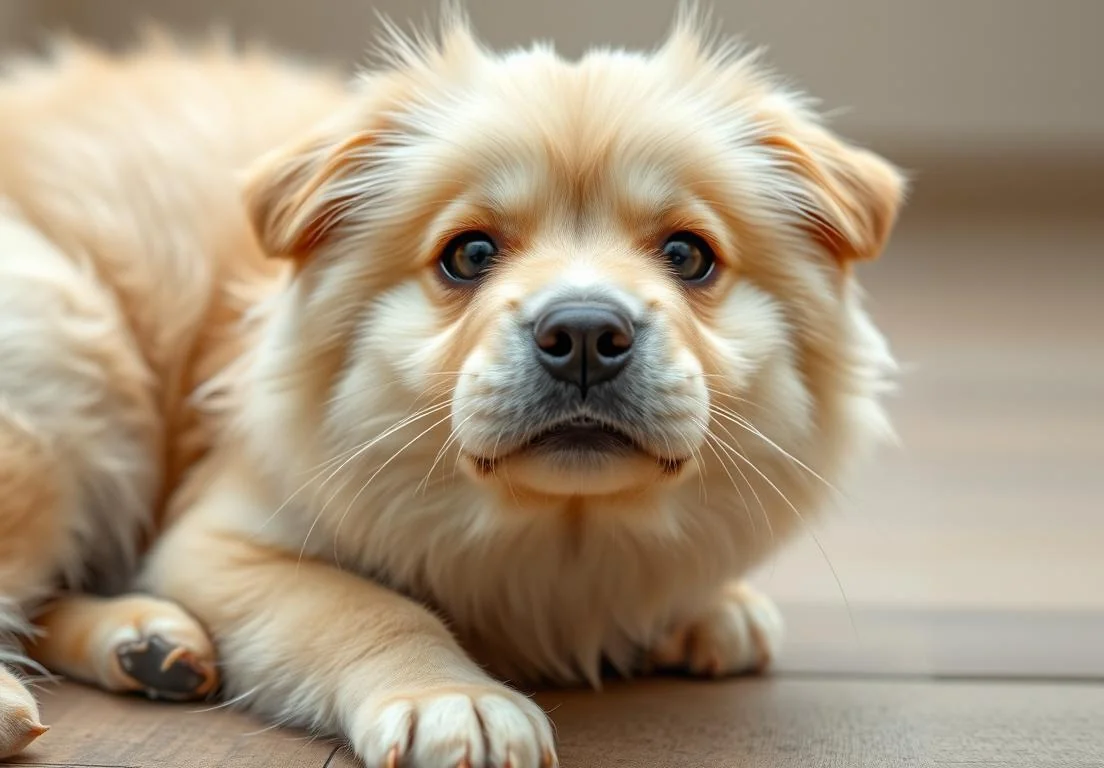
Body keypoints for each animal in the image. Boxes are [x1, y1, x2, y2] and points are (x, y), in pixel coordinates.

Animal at [0, 8, 900, 763]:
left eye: (688, 256)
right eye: (468, 255)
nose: (583, 333)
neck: (558, 534)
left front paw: (714, 608)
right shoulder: (216, 544)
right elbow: (362, 606)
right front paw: (453, 701)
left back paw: (149, 644)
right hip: (71, 357)